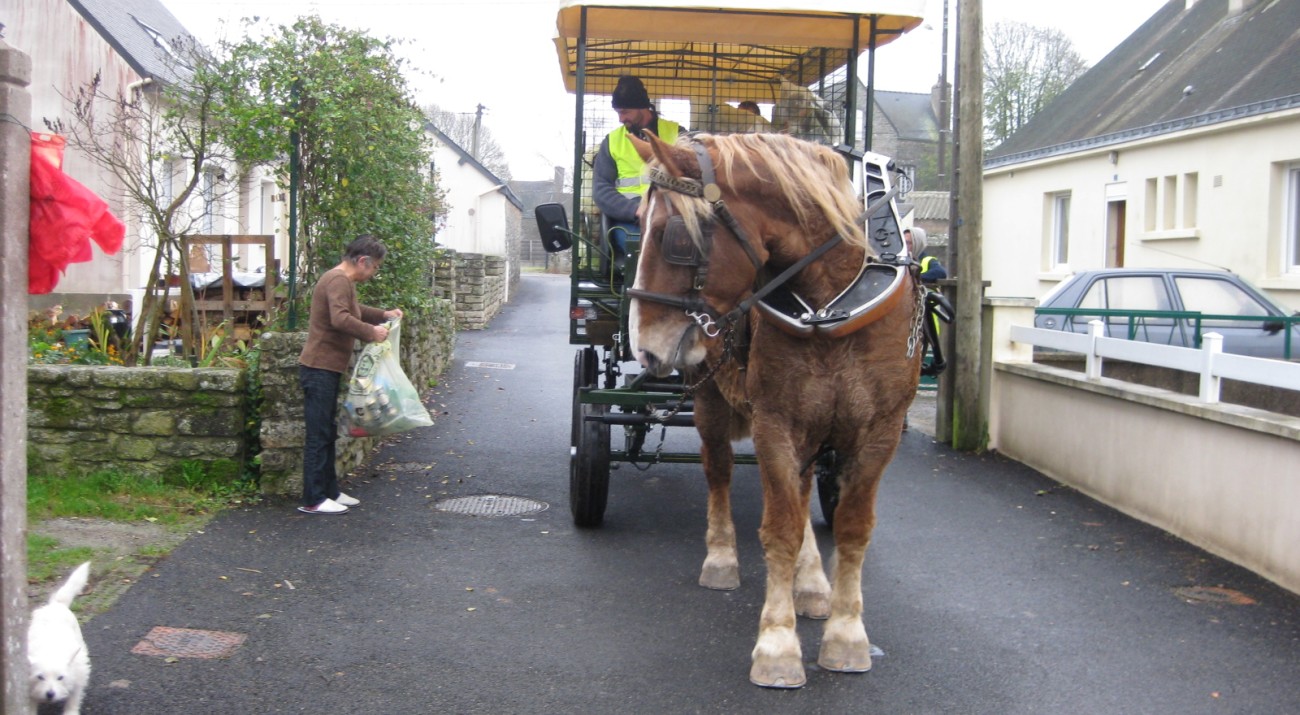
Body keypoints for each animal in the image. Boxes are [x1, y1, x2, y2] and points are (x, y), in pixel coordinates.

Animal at [626, 131, 924, 688]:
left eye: (670, 236)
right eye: (635, 223)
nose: (645, 349)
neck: (830, 304)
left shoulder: (879, 432)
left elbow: (851, 527)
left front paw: (846, 634)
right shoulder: (776, 423)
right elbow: (779, 528)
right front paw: (778, 644)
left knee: (804, 493)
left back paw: (811, 584)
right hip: (711, 400)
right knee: (719, 472)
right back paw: (722, 558)